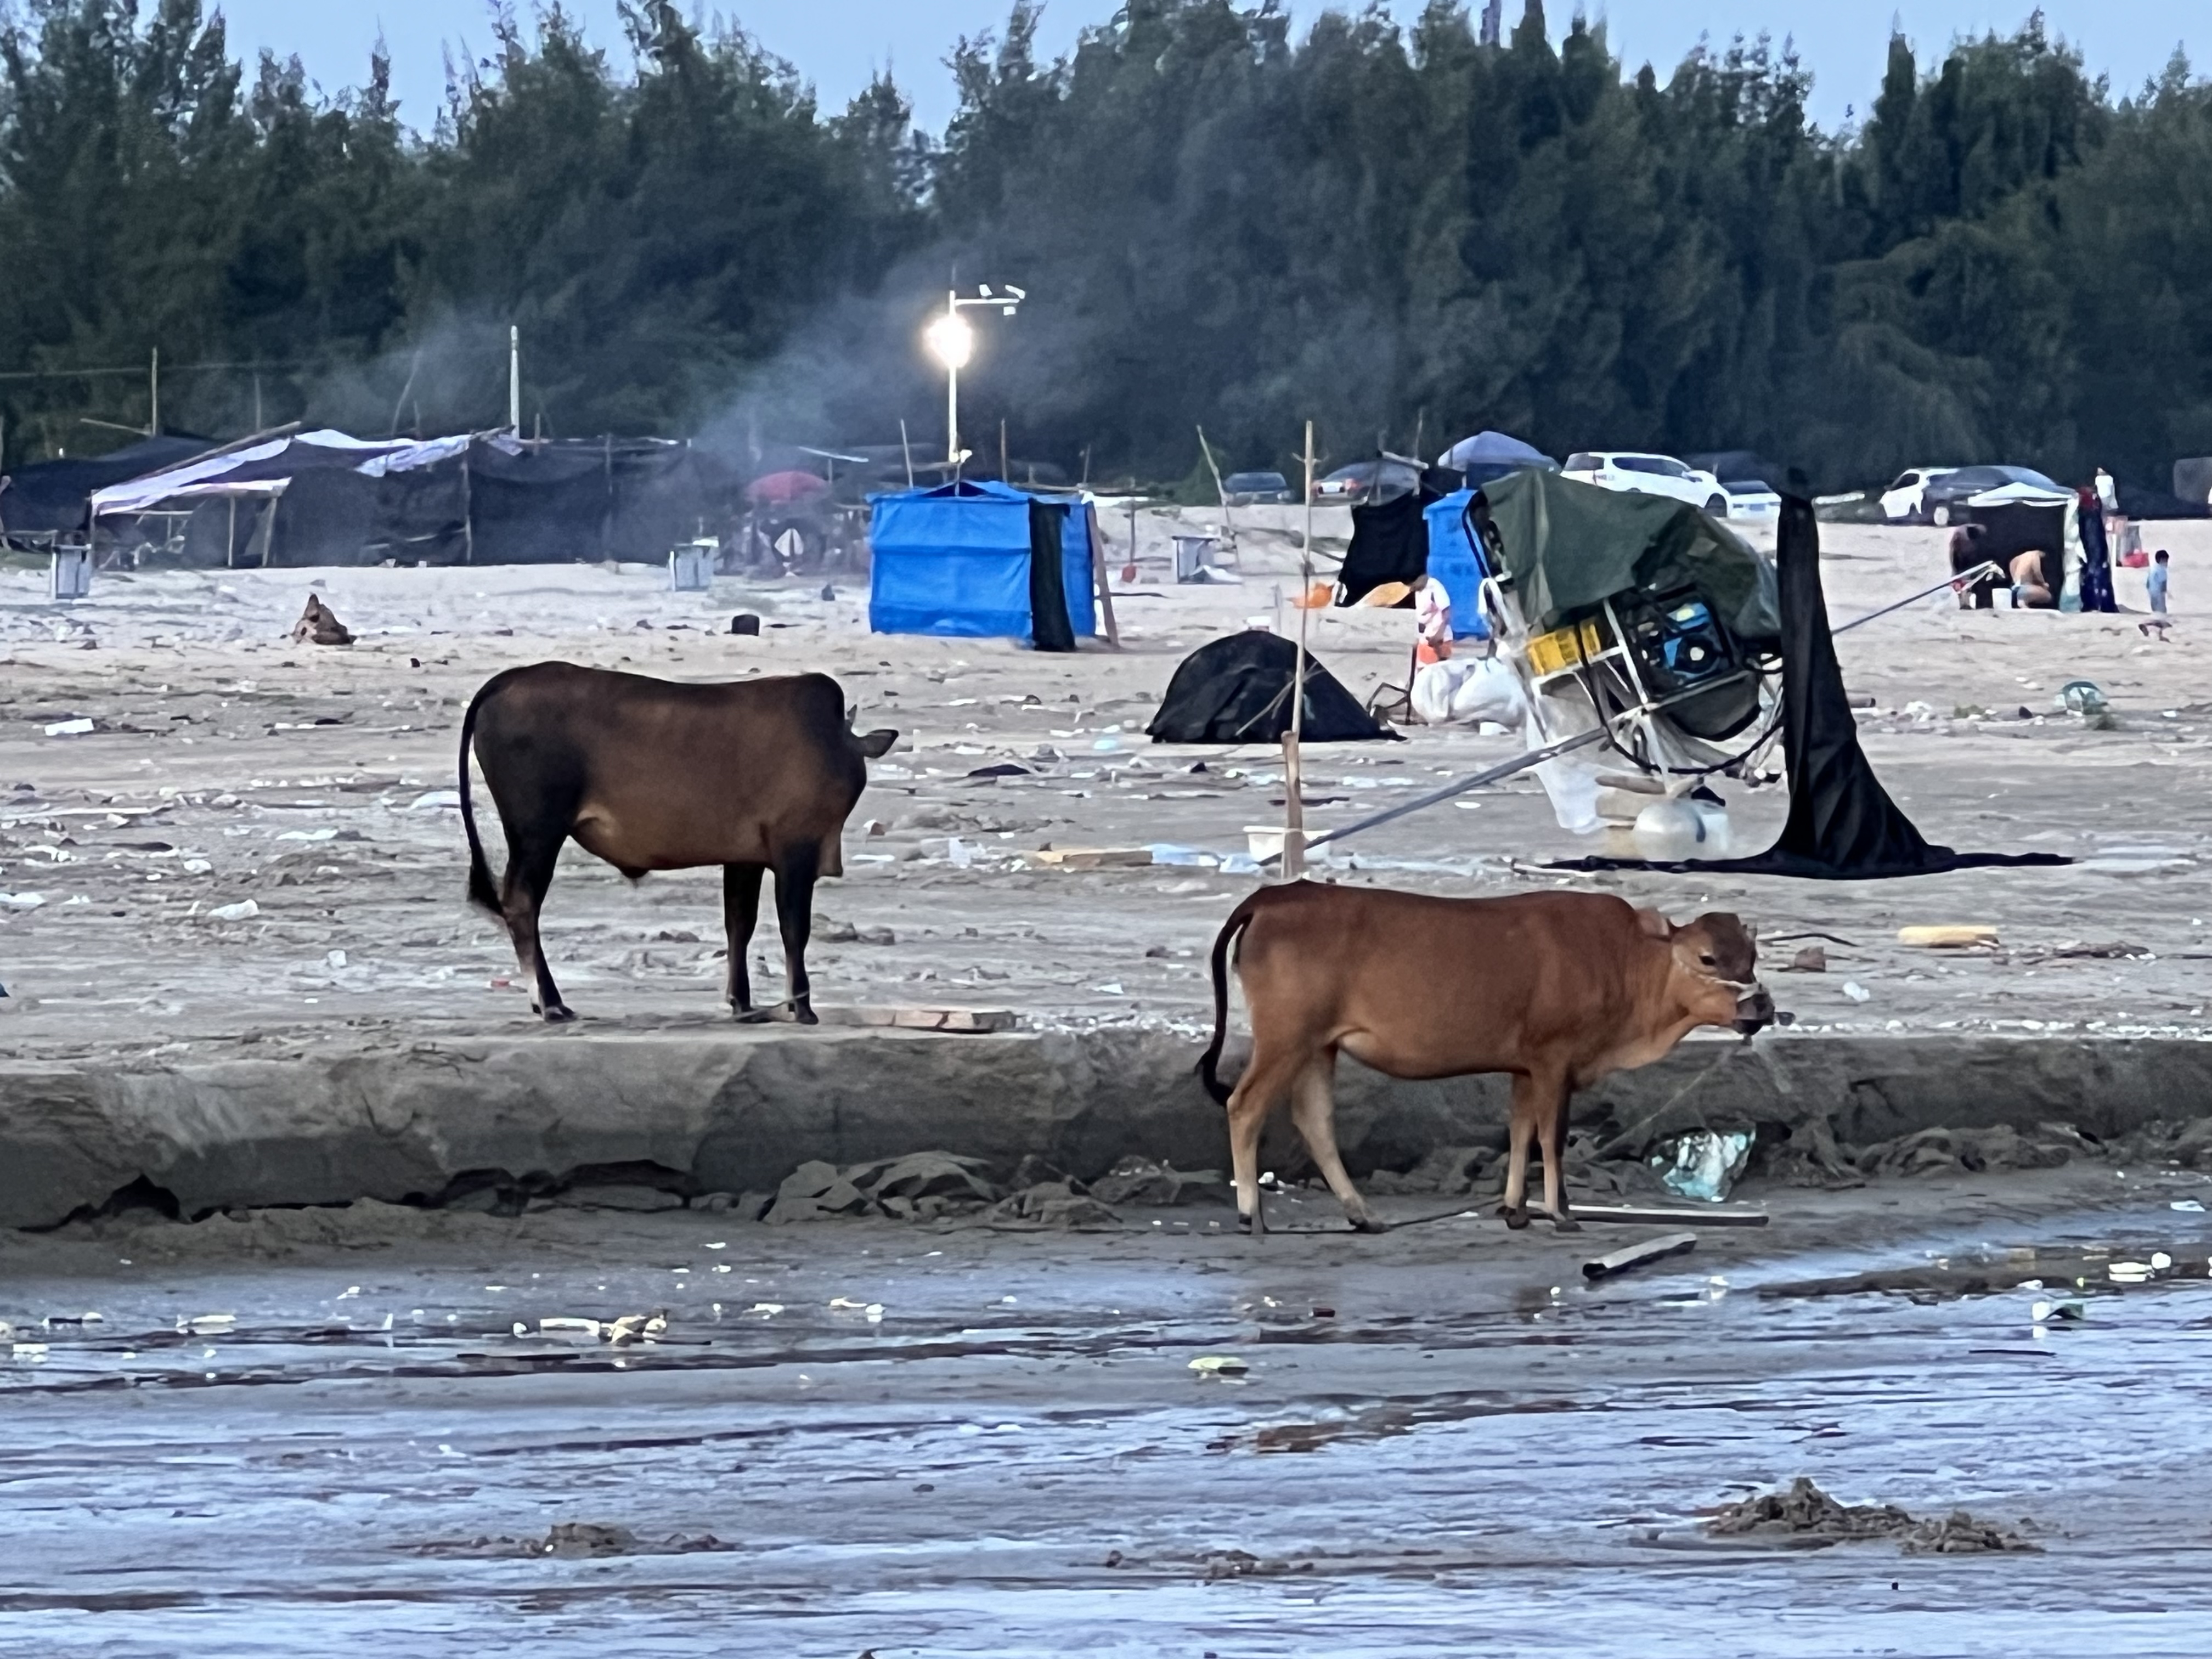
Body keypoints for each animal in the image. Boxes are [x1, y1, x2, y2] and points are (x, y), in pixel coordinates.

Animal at [458, 663, 898, 1026]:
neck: (833, 743)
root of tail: (508, 679)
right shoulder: (796, 851)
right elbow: (795, 929)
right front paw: (802, 1007)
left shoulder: (745, 857)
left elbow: (740, 924)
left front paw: (742, 1003)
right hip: (537, 833)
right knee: (522, 904)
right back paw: (549, 1003)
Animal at [1203, 884, 1769, 1238]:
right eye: (1707, 957)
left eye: (1752, 957)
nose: (1760, 1006)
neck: (1624, 963)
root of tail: (1274, 895)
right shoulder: (1554, 1057)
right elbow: (1550, 1137)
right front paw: (1560, 1212)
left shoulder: (1524, 1066)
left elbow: (1520, 1131)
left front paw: (1515, 1209)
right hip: (1286, 1036)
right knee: (1244, 1107)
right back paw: (1251, 1214)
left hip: (1319, 1043)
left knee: (1314, 1120)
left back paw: (1363, 1215)